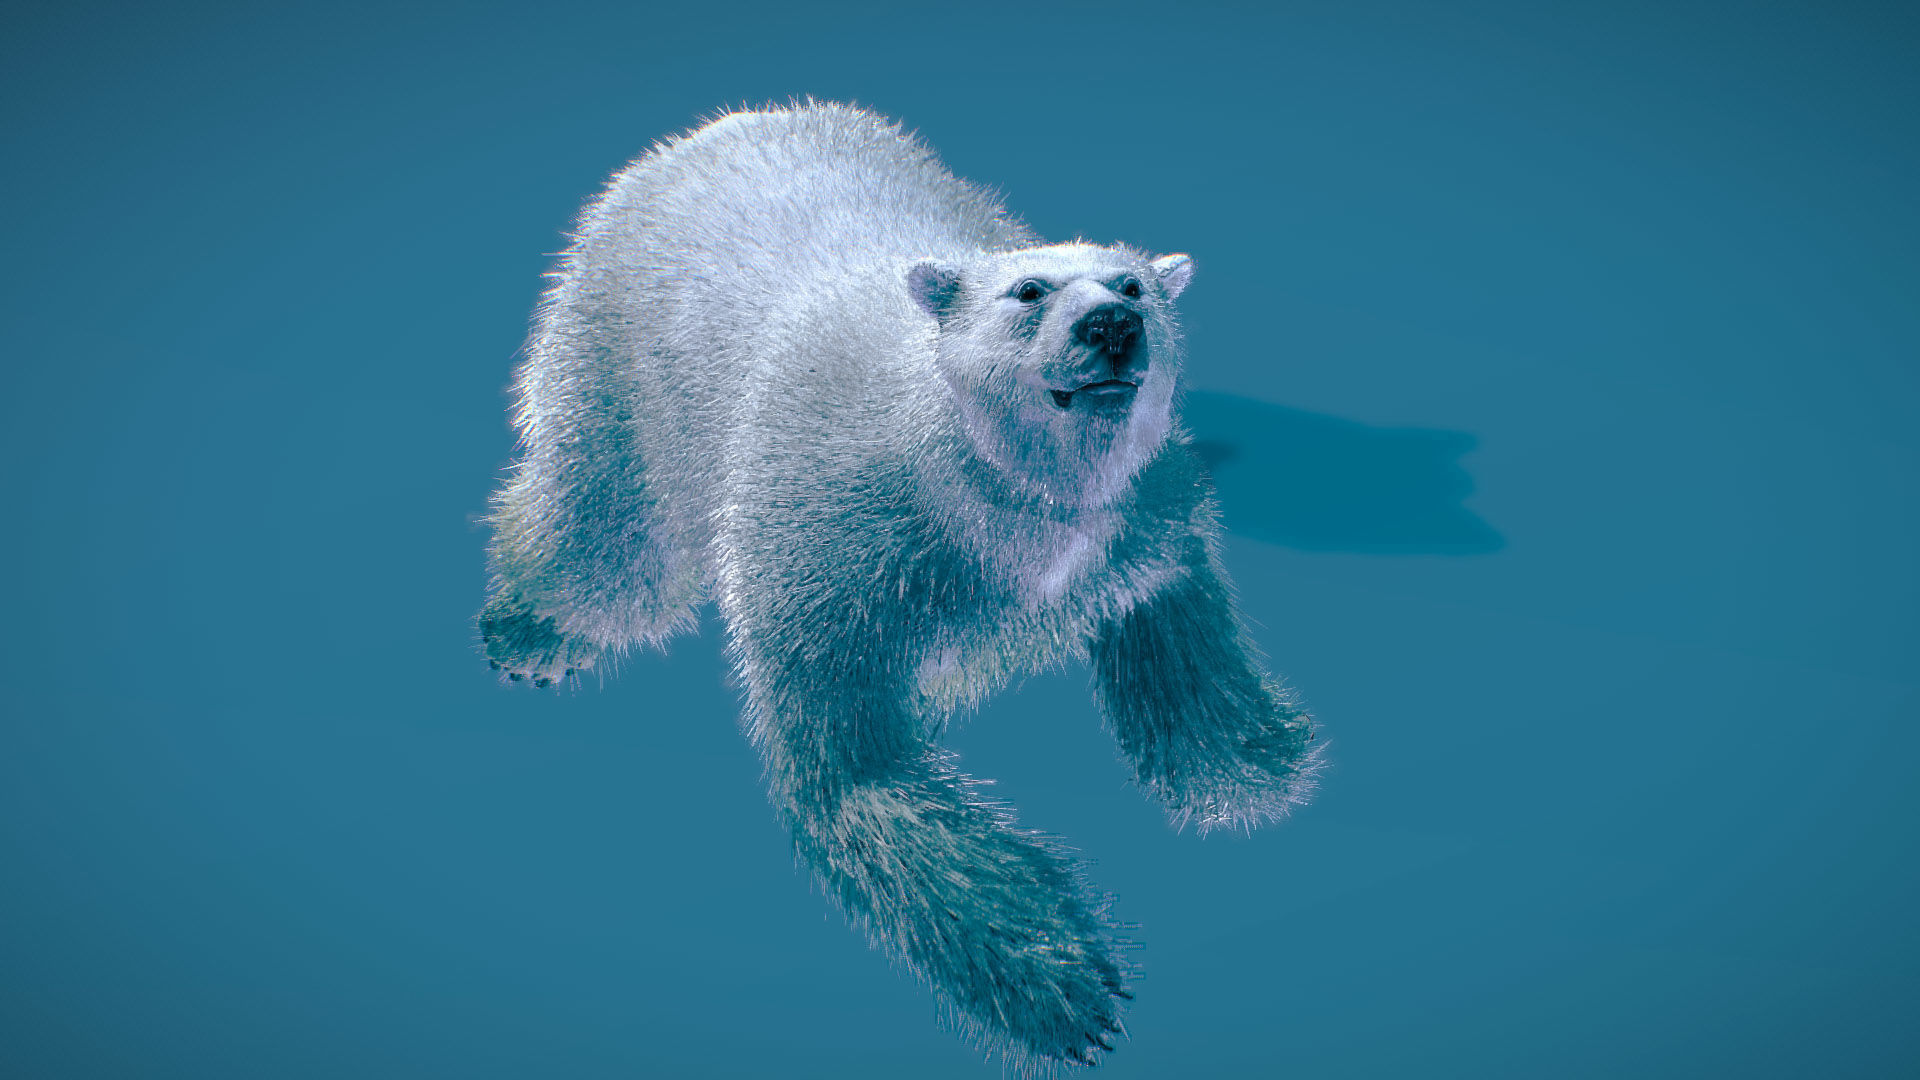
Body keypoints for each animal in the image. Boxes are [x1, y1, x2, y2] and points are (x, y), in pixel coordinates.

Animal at [480, 102, 1321, 1072]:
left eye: (1135, 283)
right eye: (1028, 292)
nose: (1111, 325)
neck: (986, 489)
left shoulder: (1136, 520)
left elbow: (1175, 604)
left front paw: (1248, 761)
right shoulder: (835, 552)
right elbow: (857, 767)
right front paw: (1059, 982)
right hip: (614, 351)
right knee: (605, 514)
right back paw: (537, 626)